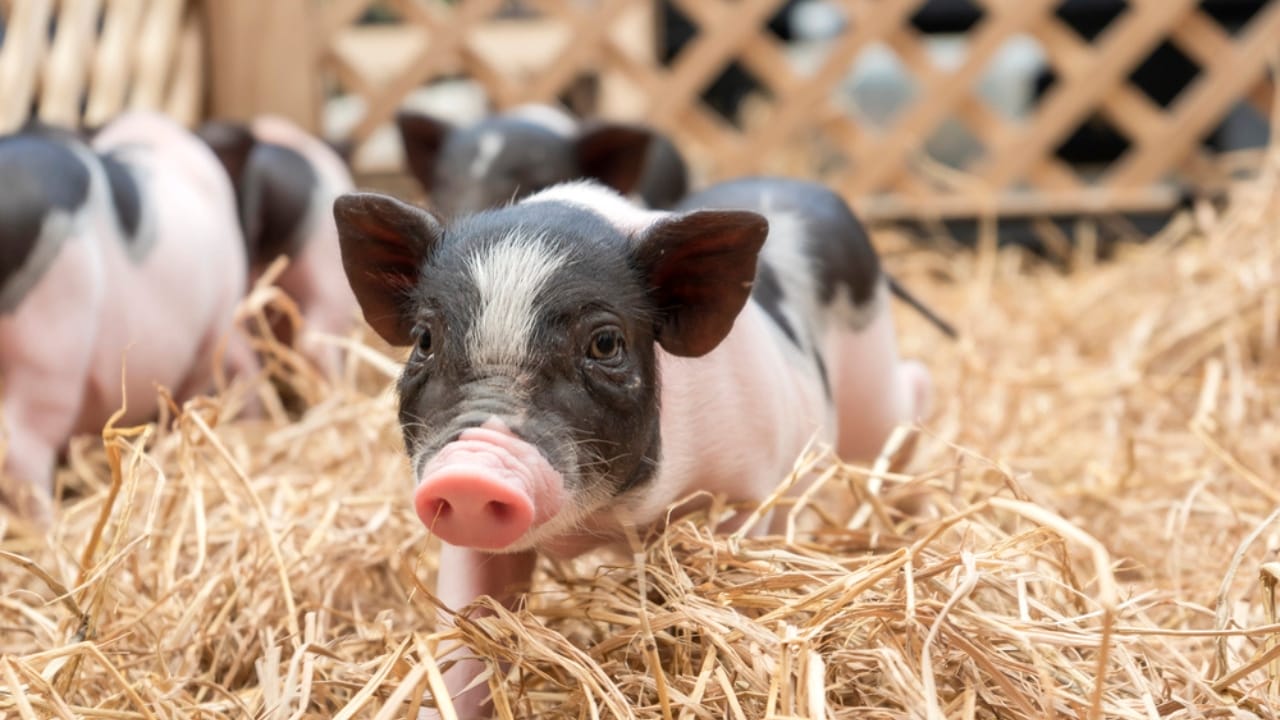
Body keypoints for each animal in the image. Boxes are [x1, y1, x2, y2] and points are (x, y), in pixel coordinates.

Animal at [333, 176, 934, 716]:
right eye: (424, 340)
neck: (601, 523)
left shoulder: (745, 493)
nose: (471, 471)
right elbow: (466, 642)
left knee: (912, 393)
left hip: (871, 384)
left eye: (605, 343)